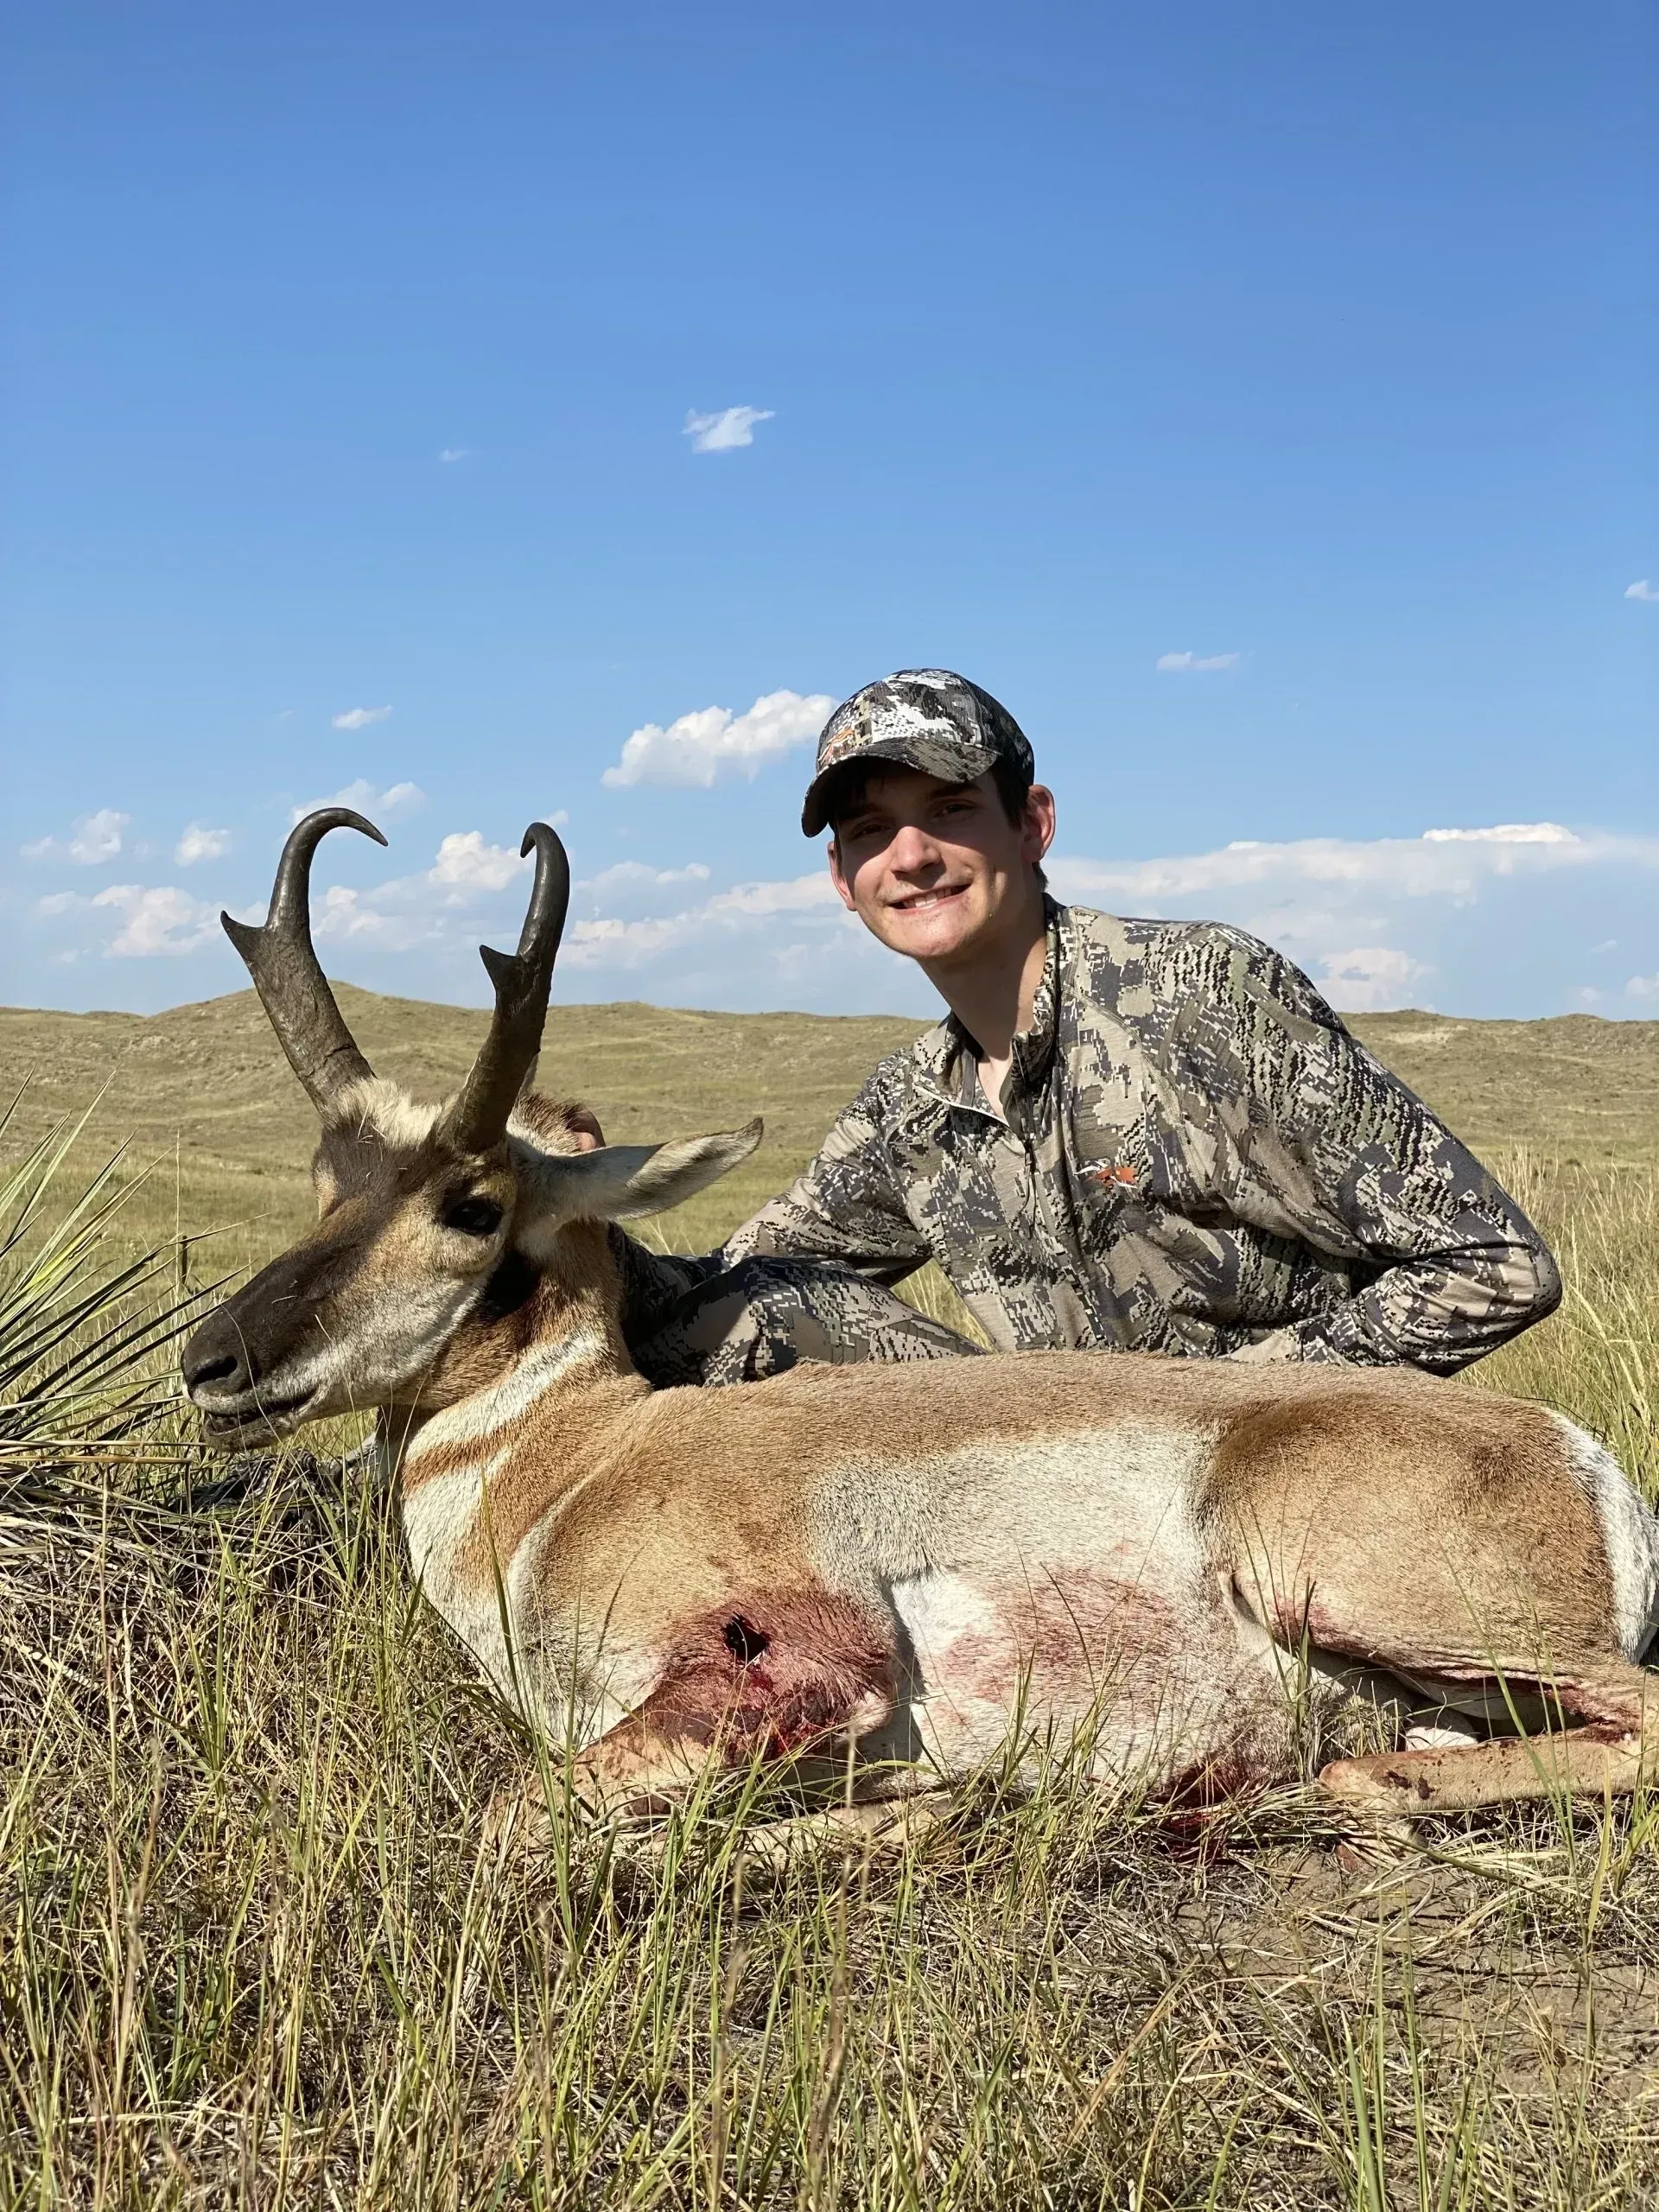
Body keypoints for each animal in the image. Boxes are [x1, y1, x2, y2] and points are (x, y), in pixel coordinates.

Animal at [184, 809, 1659, 1840]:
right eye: (326, 1175)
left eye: (474, 1203)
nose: (211, 1361)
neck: (580, 1461)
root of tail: (1580, 1457)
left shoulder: (806, 1665)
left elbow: (512, 1822)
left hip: (1341, 1582)